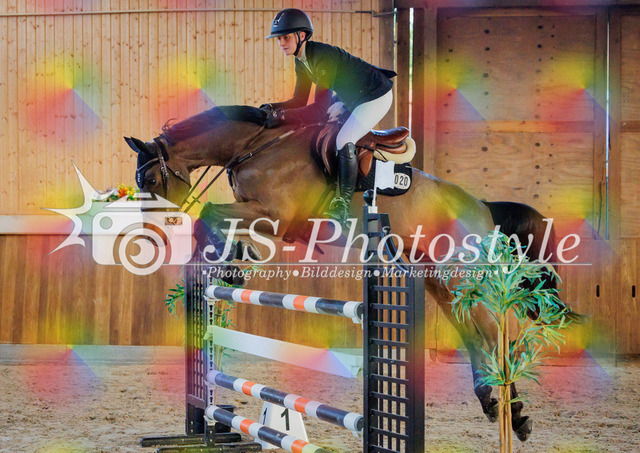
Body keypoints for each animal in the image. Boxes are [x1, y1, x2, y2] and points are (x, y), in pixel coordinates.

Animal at [126, 105, 577, 442]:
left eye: (150, 178)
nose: (153, 235)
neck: (254, 148)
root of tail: (482, 206)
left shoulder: (275, 214)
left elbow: (211, 214)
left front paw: (228, 263)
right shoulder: (266, 218)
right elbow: (224, 225)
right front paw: (232, 266)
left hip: (459, 276)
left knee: (498, 336)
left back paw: (515, 414)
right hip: (440, 282)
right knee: (476, 335)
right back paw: (495, 404)